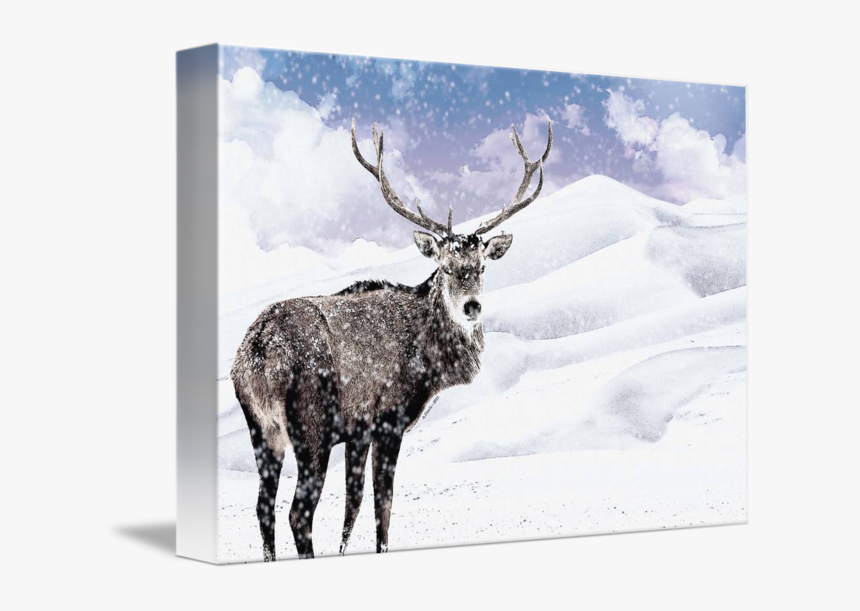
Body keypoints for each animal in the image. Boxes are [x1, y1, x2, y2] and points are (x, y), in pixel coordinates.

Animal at [231, 118, 552, 561]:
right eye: (445, 267)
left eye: (482, 266)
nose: (472, 306)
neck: (429, 367)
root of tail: (255, 356)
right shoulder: (388, 419)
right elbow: (383, 506)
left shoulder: (358, 431)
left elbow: (352, 510)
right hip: (310, 425)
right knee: (297, 512)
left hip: (262, 428)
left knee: (263, 506)